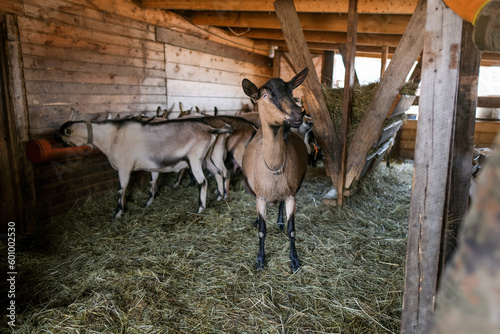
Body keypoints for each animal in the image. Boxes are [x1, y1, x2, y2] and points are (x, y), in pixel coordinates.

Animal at [241, 67, 308, 272]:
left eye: (291, 91)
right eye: (264, 95)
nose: (298, 114)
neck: (274, 166)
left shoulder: (291, 195)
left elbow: (291, 230)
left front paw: (294, 261)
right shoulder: (261, 198)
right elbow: (262, 231)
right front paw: (260, 261)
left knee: (279, 206)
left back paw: (279, 221)